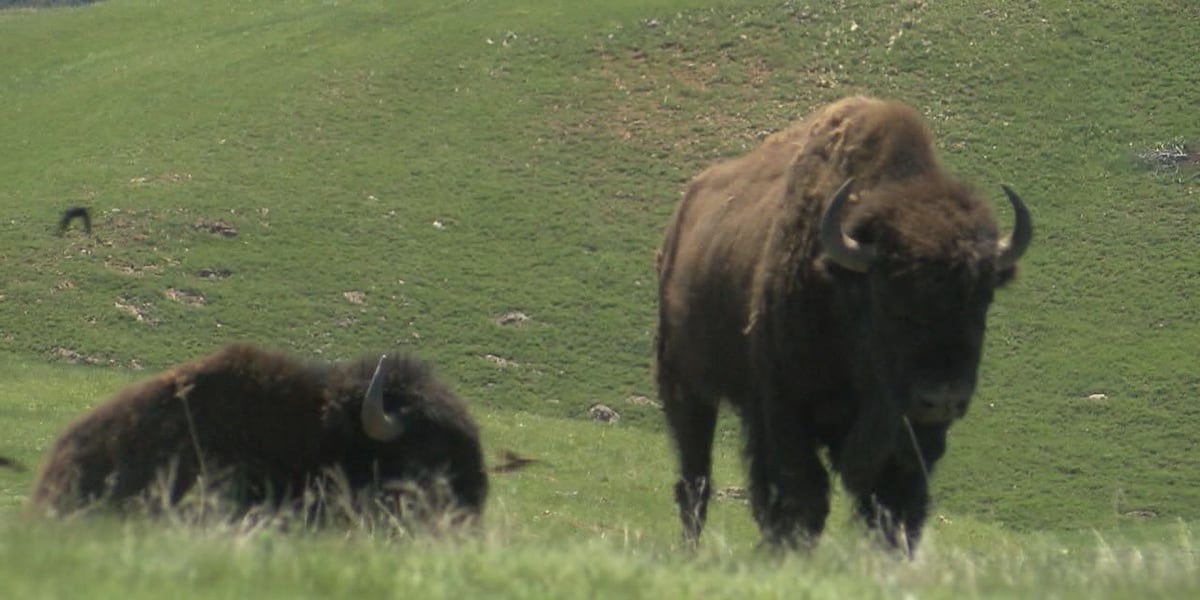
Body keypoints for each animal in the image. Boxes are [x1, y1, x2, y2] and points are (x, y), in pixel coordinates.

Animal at [655, 96, 1032, 553]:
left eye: (982, 299)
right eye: (889, 300)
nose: (941, 399)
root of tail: (681, 215)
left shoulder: (906, 437)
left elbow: (896, 502)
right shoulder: (785, 408)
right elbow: (801, 492)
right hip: (685, 385)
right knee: (695, 476)